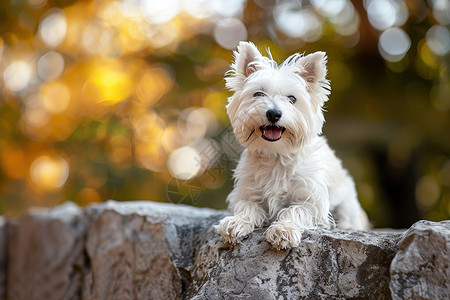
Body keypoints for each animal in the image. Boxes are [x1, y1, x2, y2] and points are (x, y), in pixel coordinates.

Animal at [217, 41, 370, 250]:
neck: (276, 156)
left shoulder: (311, 200)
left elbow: (295, 211)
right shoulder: (248, 193)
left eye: (292, 99)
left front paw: (283, 230)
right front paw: (235, 223)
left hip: (347, 202)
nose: (274, 113)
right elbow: (247, 208)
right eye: (258, 93)